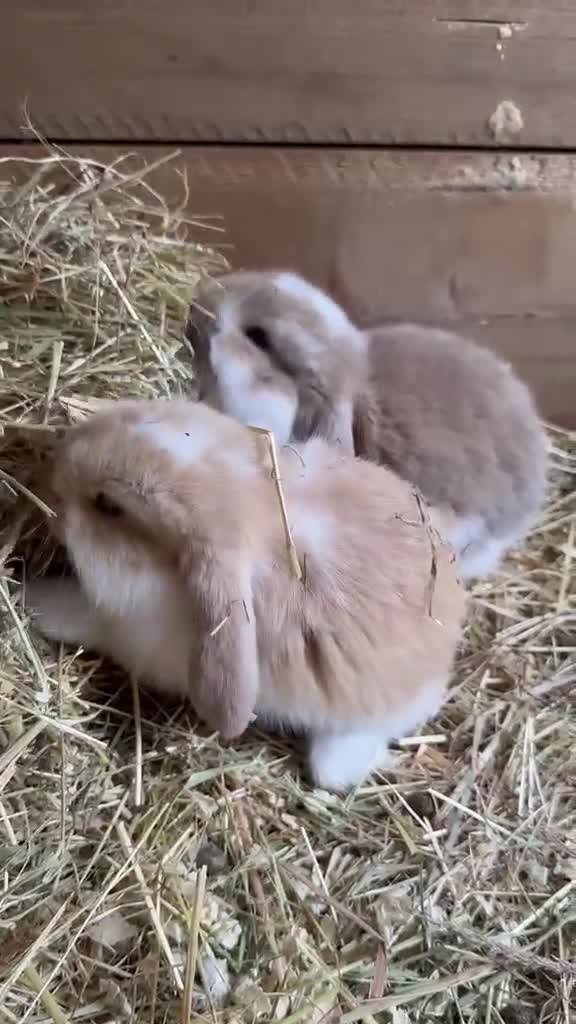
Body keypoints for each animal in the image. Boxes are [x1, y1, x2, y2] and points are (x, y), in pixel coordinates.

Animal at [26, 398, 466, 792]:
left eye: (108, 505)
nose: (48, 477)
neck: (250, 503)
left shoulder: (131, 634)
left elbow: (84, 617)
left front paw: (32, 597)